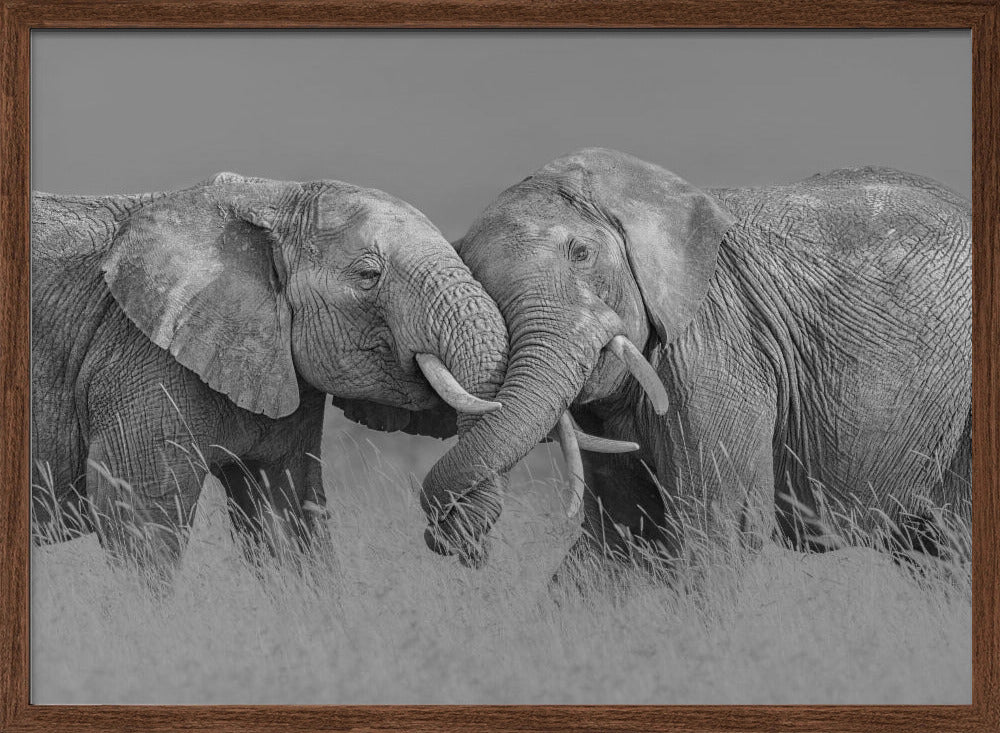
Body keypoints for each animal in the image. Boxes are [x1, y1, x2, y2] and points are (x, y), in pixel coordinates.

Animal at [31, 172, 510, 585]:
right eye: (369, 276)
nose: (456, 544)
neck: (271, 199)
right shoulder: (142, 356)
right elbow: (137, 512)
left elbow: (285, 513)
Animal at [417, 147, 971, 579]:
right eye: (473, 274)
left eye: (580, 254)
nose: (462, 546)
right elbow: (618, 538)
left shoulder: (718, 347)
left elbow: (718, 531)